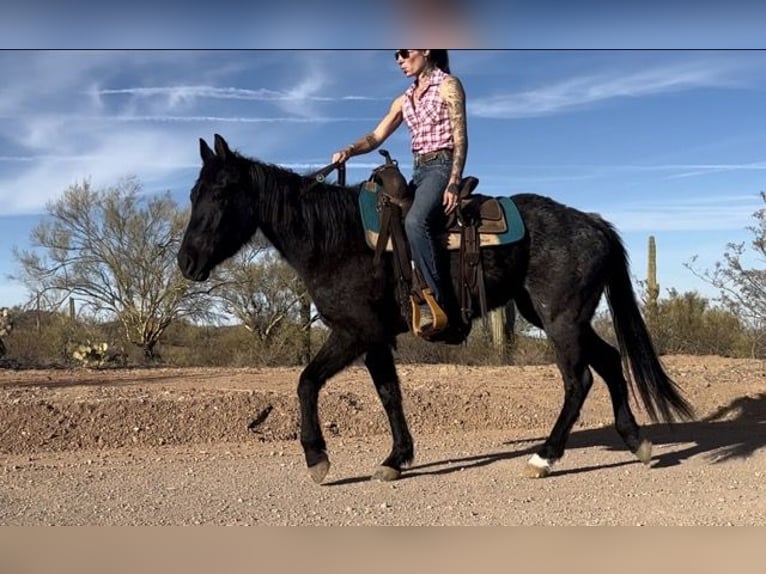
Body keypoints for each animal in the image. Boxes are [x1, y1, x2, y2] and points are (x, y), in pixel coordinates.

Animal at [178, 135, 696, 486]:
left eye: (220, 194)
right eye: (192, 193)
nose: (186, 262)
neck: (336, 240)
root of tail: (593, 222)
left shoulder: (354, 332)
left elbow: (306, 382)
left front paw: (317, 458)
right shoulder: (375, 337)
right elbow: (389, 394)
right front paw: (395, 459)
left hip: (561, 319)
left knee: (579, 379)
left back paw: (545, 456)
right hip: (553, 315)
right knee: (609, 361)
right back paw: (636, 441)